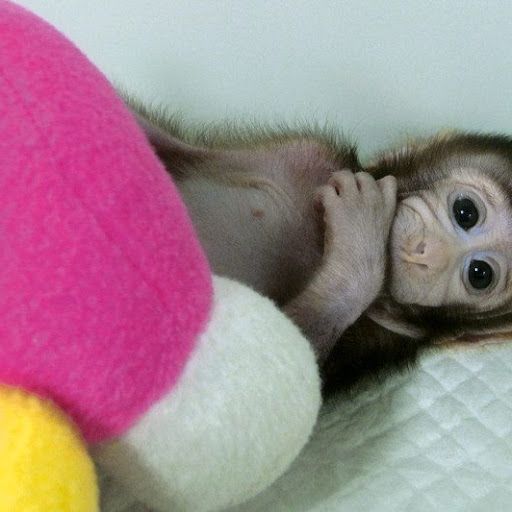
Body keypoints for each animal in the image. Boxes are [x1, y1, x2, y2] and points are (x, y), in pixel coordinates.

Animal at [130, 100, 512, 395]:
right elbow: (169, 150)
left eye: (479, 275)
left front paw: (360, 241)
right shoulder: (308, 153)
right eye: (466, 212)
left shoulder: (378, 336)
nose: (428, 253)